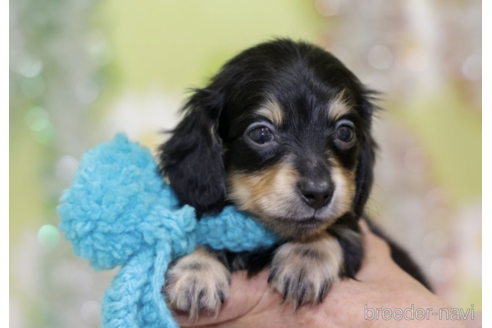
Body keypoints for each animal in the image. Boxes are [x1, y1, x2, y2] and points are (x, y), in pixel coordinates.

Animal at [159, 37, 430, 318]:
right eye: (261, 134)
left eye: (345, 132)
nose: (319, 193)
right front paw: (196, 270)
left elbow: (339, 230)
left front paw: (306, 257)